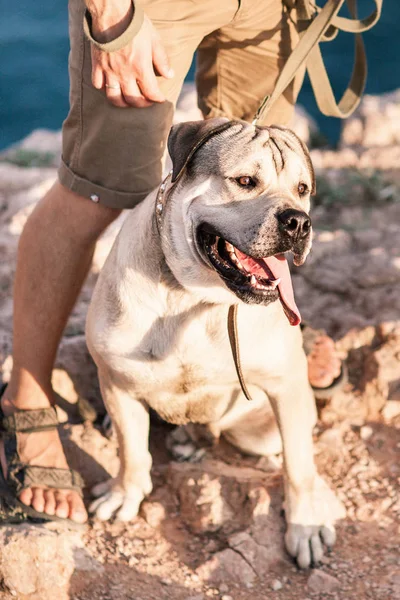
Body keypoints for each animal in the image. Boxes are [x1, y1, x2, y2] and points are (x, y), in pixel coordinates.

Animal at [86, 118, 346, 568]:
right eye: (245, 181)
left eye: (302, 189)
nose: (298, 222)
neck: (193, 296)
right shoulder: (117, 383)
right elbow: (131, 450)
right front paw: (124, 494)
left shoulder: (287, 387)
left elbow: (299, 466)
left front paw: (306, 526)